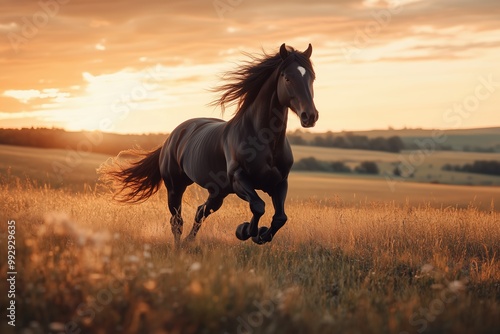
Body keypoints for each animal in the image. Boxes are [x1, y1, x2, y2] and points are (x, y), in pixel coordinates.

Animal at [101, 43, 318, 245]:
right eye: (287, 78)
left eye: (312, 78)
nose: (310, 116)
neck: (264, 141)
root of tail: (171, 137)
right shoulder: (239, 179)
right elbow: (258, 206)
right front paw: (245, 231)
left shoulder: (279, 183)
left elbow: (280, 217)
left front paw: (261, 235)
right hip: (175, 187)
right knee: (177, 221)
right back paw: (179, 247)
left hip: (218, 191)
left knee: (200, 212)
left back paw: (188, 243)